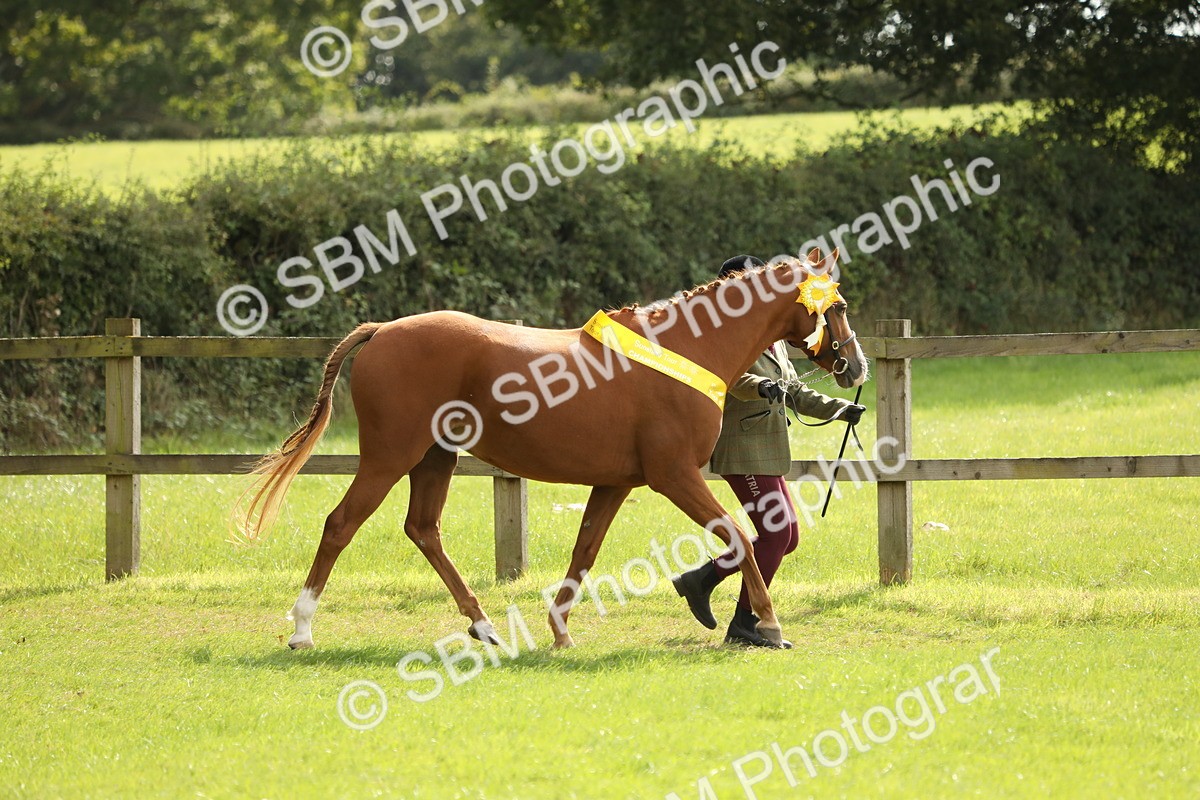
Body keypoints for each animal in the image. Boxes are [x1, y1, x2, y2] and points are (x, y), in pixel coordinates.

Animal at [241, 249, 868, 650]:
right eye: (835, 306)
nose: (855, 367)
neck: (686, 349)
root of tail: (382, 330)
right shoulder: (674, 476)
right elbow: (738, 537)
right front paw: (769, 625)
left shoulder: (615, 482)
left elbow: (584, 550)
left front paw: (560, 630)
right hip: (389, 458)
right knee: (340, 524)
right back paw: (301, 630)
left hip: (435, 459)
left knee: (423, 529)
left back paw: (484, 626)